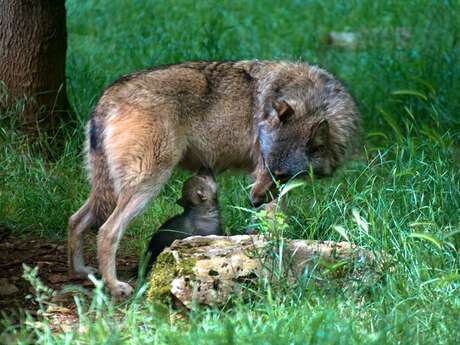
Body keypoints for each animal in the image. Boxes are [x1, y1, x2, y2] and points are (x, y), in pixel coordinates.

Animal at [67, 59, 360, 296]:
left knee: (75, 220)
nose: (252, 201)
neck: (312, 100)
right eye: (265, 163)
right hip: (147, 185)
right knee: (107, 231)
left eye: (281, 174)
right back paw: (114, 286)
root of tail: (109, 94)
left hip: (108, 191)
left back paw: (80, 271)